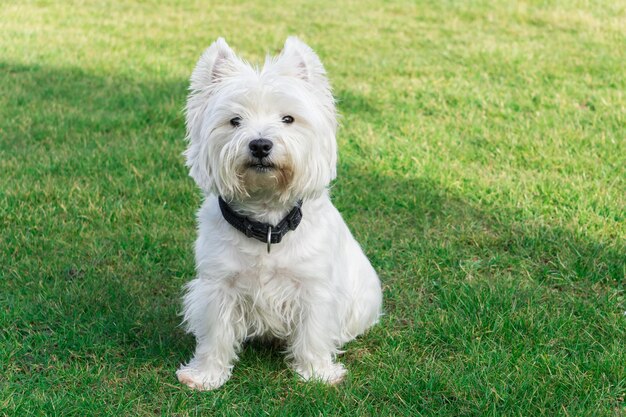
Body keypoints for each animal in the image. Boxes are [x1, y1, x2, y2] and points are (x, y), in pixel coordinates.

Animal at [176, 36, 380, 390]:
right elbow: (216, 334)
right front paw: (205, 376)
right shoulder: (218, 284)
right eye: (235, 121)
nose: (260, 145)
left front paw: (316, 373)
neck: (267, 223)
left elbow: (313, 332)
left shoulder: (314, 287)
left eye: (288, 119)